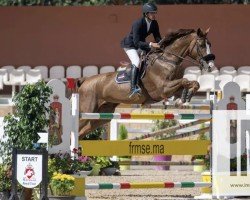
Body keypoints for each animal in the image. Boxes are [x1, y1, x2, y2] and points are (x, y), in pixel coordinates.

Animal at [76, 28, 215, 138]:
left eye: (210, 44)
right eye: (202, 45)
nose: (210, 67)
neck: (167, 60)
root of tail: (85, 80)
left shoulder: (171, 88)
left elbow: (191, 83)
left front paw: (184, 98)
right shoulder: (163, 89)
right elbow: (185, 80)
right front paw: (183, 98)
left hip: (102, 115)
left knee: (81, 132)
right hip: (87, 111)